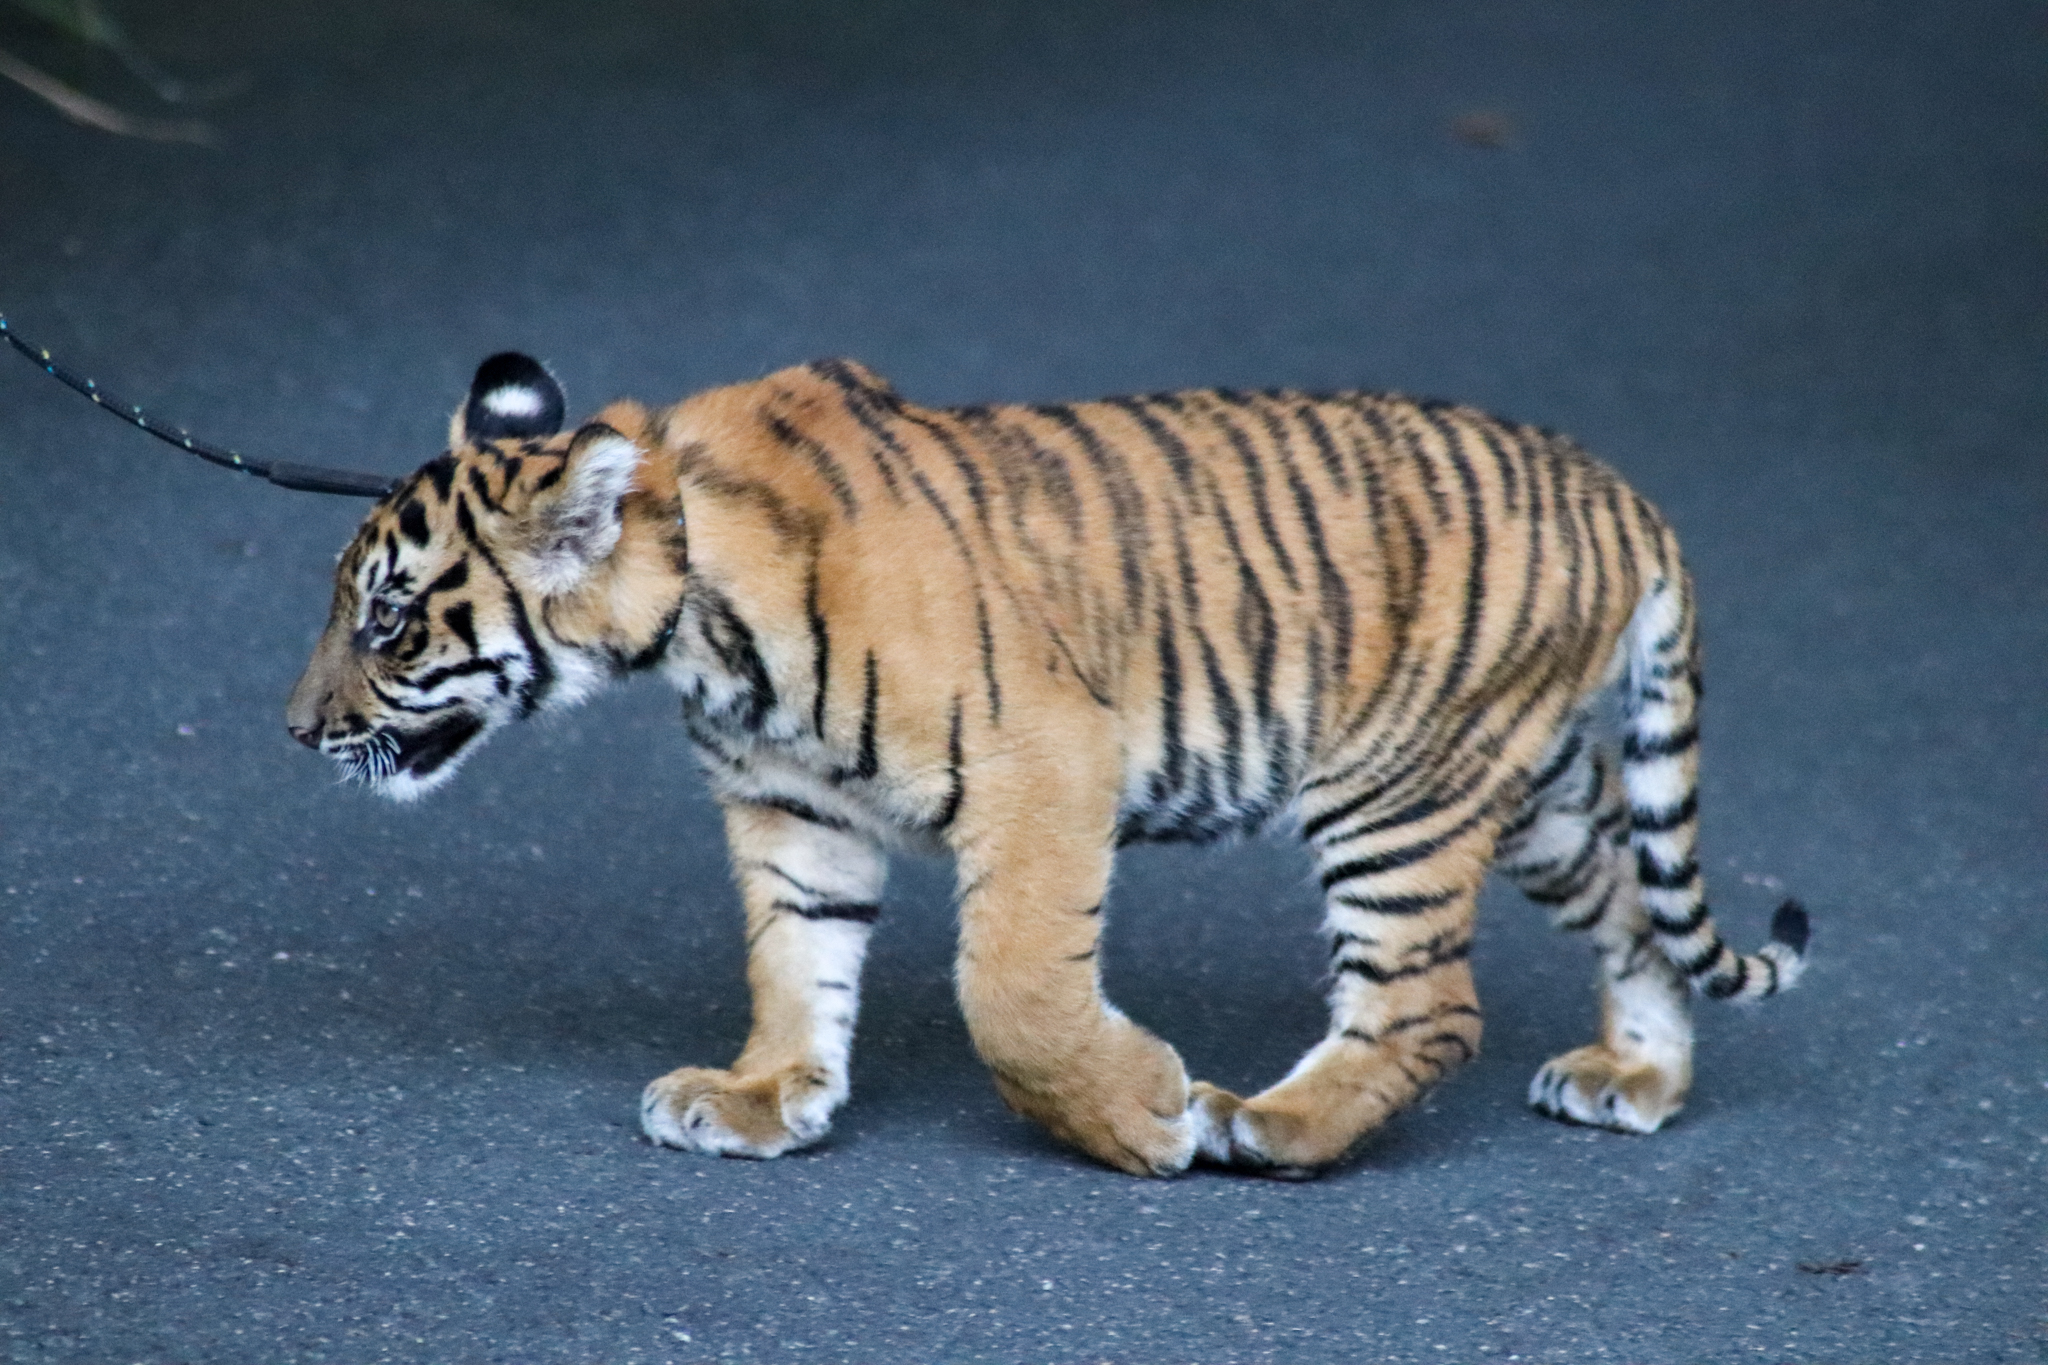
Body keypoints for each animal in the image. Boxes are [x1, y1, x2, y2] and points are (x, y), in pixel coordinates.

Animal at [286, 350, 1809, 1177]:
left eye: (387, 620)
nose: (296, 731)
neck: (693, 619)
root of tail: (1617, 489)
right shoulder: (788, 807)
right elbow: (793, 958)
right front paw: (767, 1096)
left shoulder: (1044, 762)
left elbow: (1010, 986)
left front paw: (1138, 1121)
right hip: (1526, 782)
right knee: (1636, 910)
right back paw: (1638, 1081)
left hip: (1397, 793)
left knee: (1428, 1008)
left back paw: (1267, 1125)